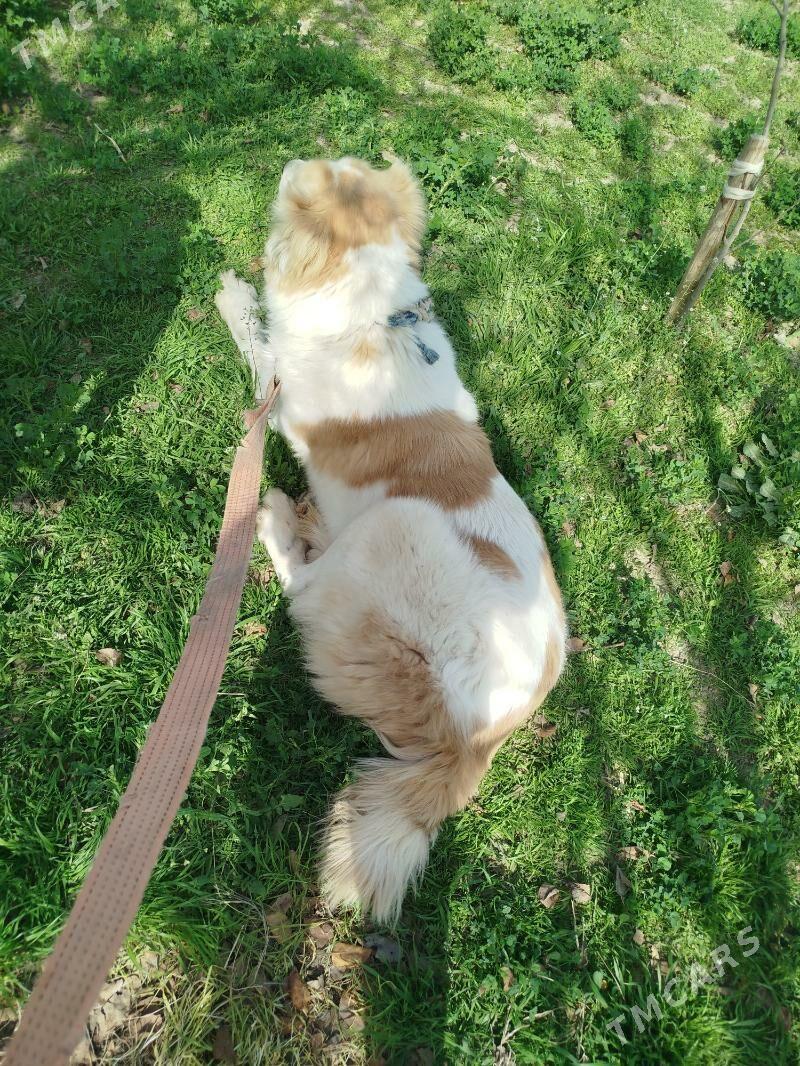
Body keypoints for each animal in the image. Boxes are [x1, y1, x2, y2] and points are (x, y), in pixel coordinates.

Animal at [215, 157, 566, 922]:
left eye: (324, 172)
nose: (295, 162)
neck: (376, 313)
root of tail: (475, 743)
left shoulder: (284, 397)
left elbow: (259, 343)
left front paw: (231, 295)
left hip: (397, 527)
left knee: (304, 590)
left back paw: (279, 518)